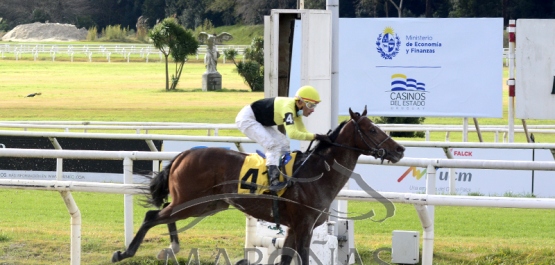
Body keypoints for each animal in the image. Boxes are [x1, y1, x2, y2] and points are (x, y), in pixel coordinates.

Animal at [112, 107, 404, 264]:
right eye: (373, 129)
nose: (400, 149)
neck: (317, 173)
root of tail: (184, 153)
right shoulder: (304, 225)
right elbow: (302, 257)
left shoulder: (293, 227)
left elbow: (286, 257)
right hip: (190, 202)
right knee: (152, 216)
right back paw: (126, 252)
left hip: (205, 205)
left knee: (164, 216)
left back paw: (170, 247)